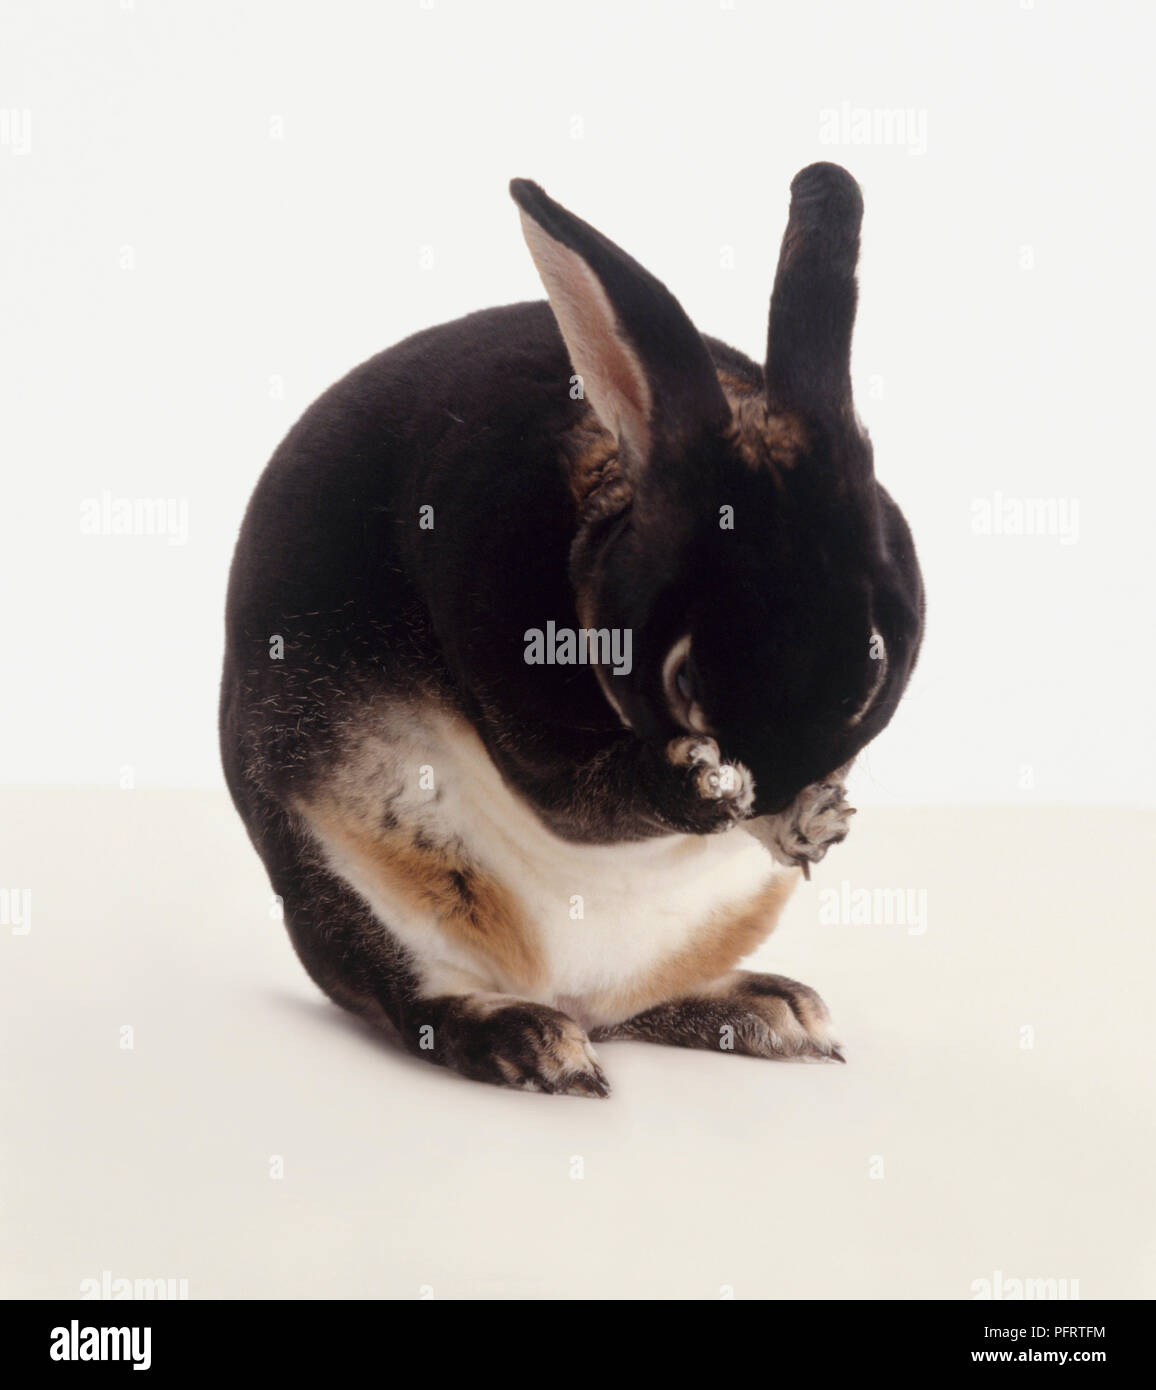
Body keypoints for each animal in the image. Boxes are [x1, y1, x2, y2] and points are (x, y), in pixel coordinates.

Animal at [220, 162, 924, 1097]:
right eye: (685, 679)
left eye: (873, 668)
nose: (774, 789)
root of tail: (570, 989)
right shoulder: (527, 726)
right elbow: (581, 801)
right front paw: (702, 789)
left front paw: (814, 821)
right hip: (339, 874)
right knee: (411, 999)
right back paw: (534, 1045)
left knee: (634, 1004)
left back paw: (771, 1012)